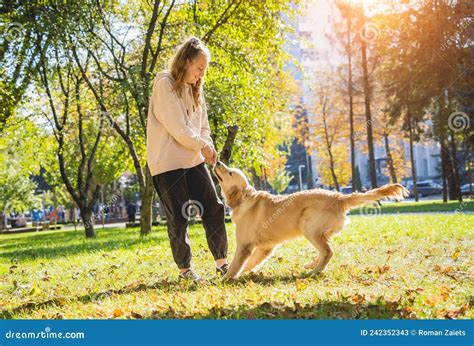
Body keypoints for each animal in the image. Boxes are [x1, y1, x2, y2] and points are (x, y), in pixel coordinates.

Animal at [213, 161, 410, 280]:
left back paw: (315, 271)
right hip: (319, 230)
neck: (244, 198)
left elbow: (236, 264)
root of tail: (339, 197)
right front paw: (245, 273)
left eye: (229, 173)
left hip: (308, 227)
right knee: (325, 250)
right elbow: (251, 262)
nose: (217, 162)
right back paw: (312, 265)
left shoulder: (244, 244)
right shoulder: (265, 247)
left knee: (328, 251)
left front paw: (226, 278)